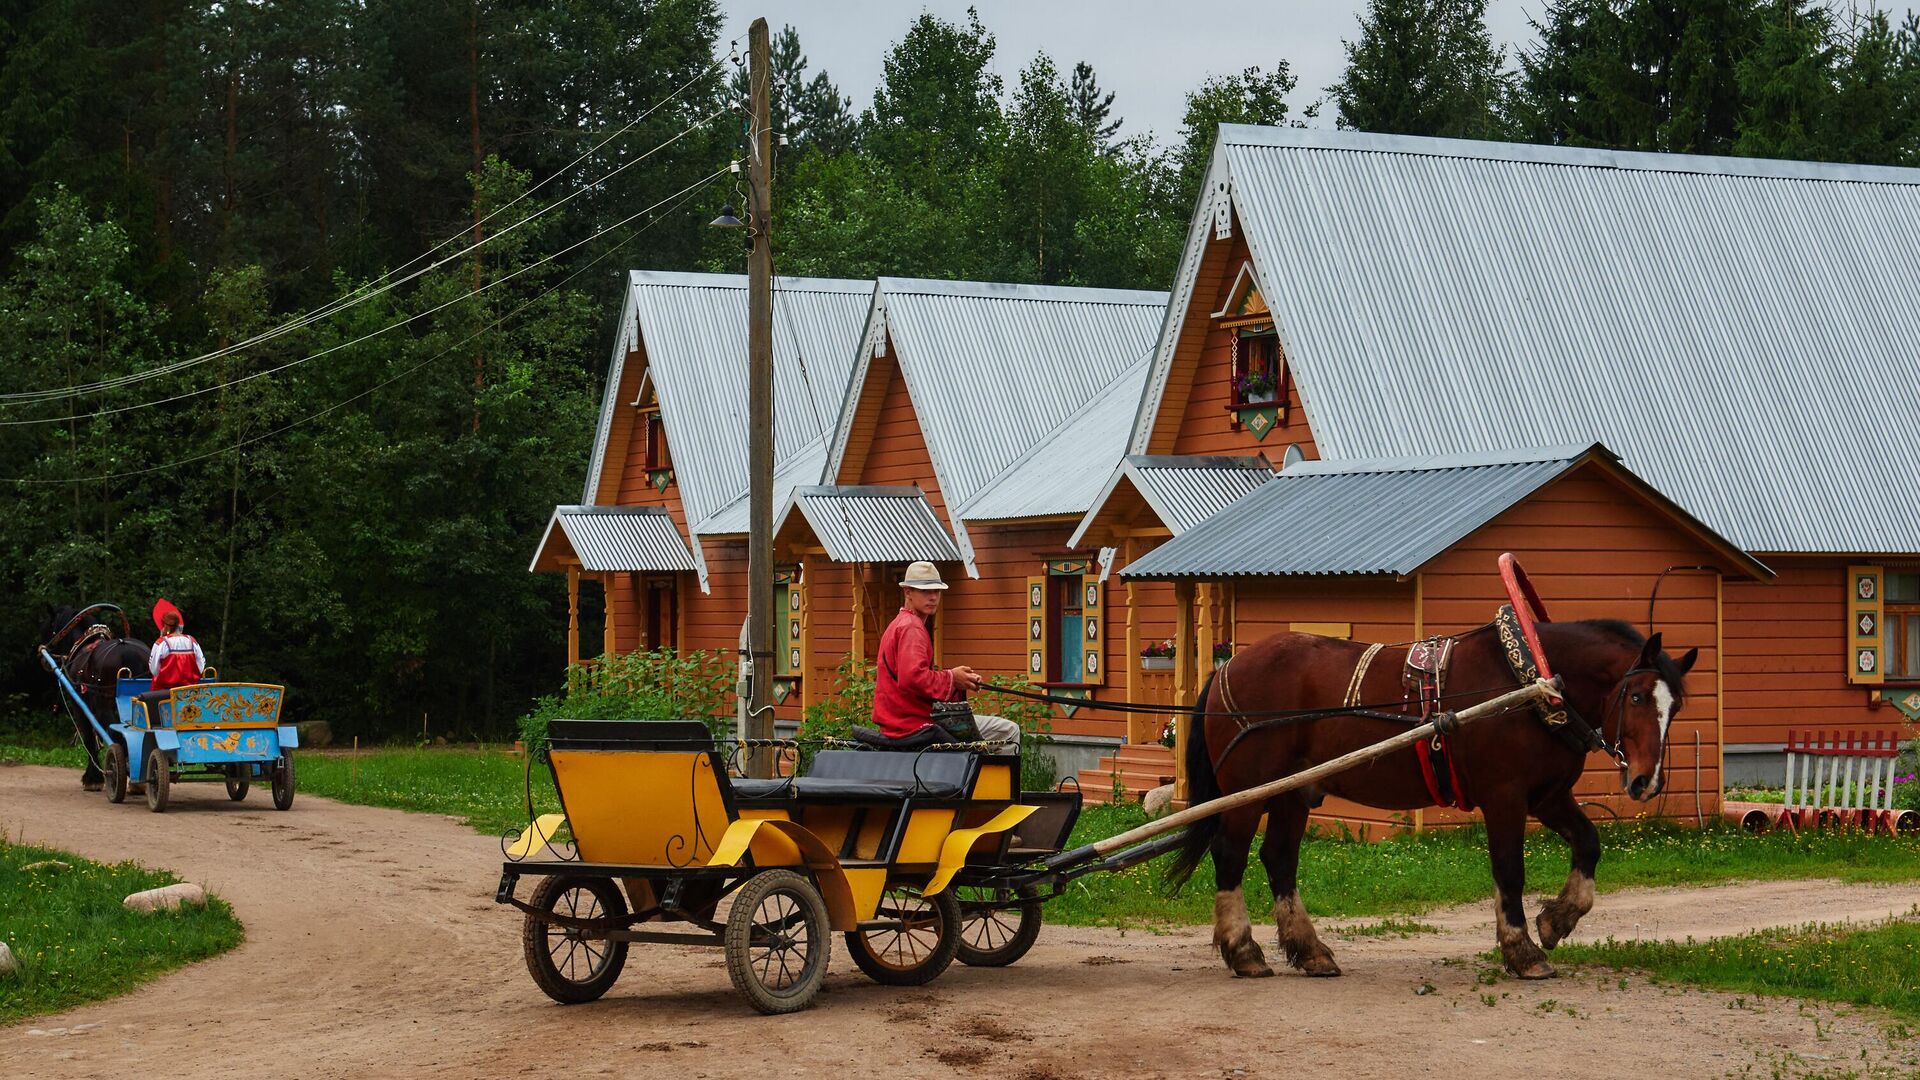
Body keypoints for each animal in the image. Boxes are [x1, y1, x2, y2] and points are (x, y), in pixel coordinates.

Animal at [1167, 614, 1697, 976]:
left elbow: (1589, 844)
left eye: (1675, 707)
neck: (1529, 685)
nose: (1645, 781)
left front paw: (1557, 921)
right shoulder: (1505, 796)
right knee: (1230, 855)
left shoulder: (1547, 796)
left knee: (1278, 858)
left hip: (1293, 793)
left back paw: (1310, 951)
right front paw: (1522, 950)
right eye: (1635, 697)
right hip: (1246, 790)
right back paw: (1243, 952)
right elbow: (1510, 870)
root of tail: (1228, 666)